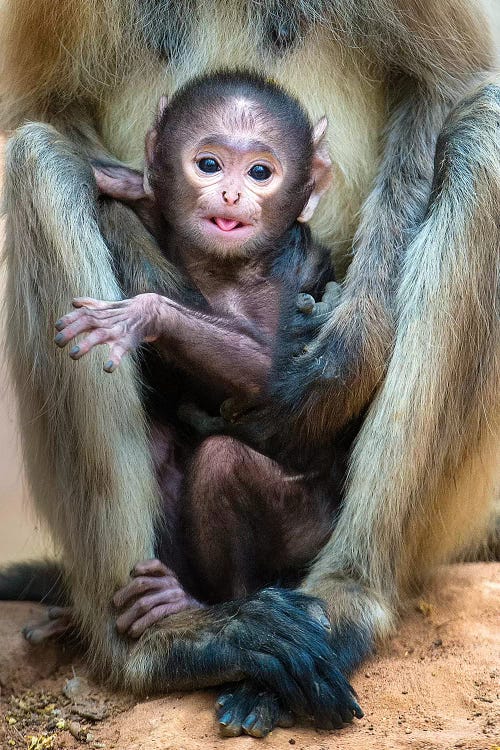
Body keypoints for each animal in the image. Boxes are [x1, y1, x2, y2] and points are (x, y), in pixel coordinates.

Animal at [56, 69, 342, 636]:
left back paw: (206, 603)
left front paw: (142, 314)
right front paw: (131, 187)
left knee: (223, 460)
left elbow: (274, 373)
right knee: (160, 440)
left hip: (308, 529)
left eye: (260, 172)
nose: (231, 195)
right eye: (208, 164)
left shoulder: (278, 279)